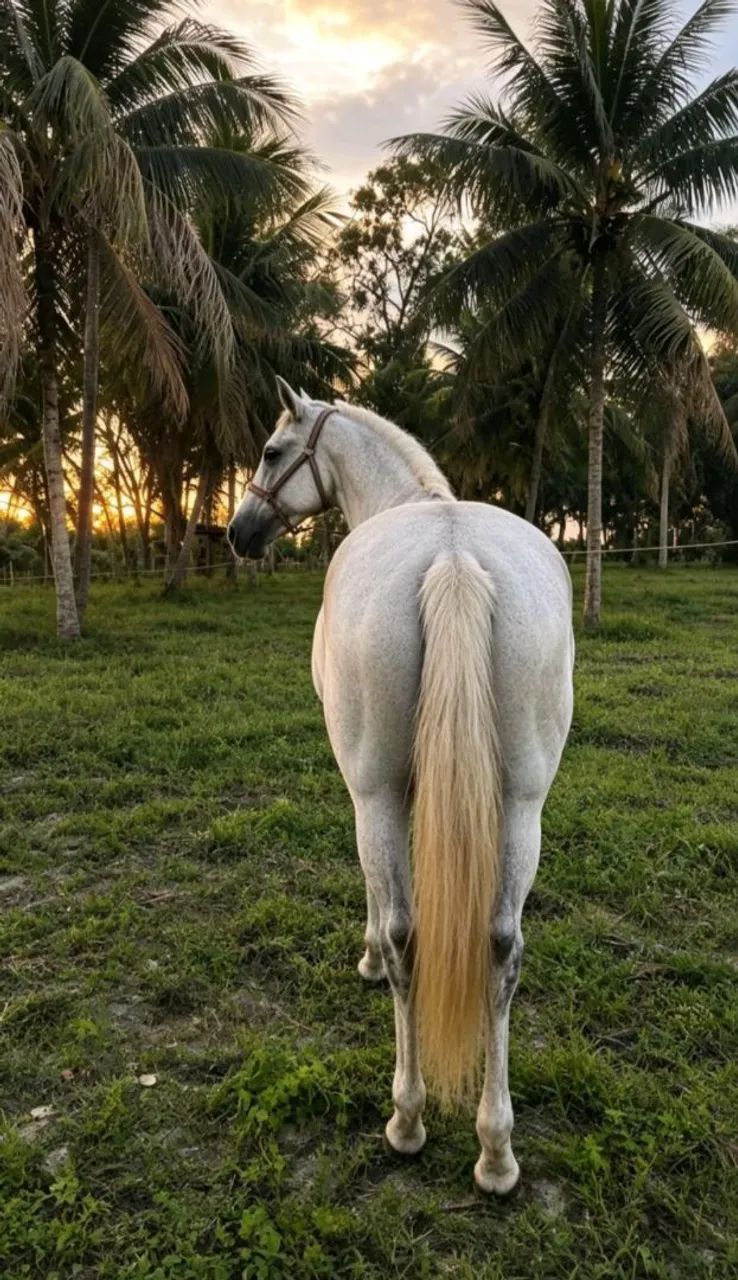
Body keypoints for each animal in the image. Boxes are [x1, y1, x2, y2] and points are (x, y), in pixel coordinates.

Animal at [227, 377, 574, 1194]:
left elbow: (379, 899)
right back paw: (496, 1151)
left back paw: (408, 1118)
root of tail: (452, 557)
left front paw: (362, 956)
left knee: (407, 938)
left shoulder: (366, 788)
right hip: (522, 806)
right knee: (501, 946)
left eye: (273, 451)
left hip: (379, 791)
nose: (239, 533)